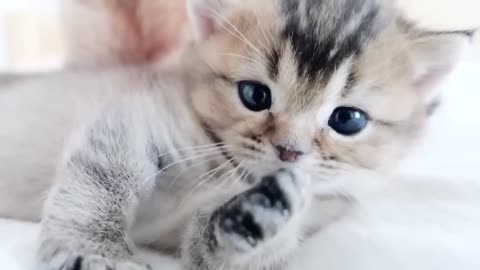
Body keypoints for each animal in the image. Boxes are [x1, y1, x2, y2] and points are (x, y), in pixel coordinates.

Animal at [0, 0, 472, 268]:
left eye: (348, 120)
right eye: (254, 95)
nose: (289, 151)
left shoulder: (325, 206)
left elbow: (216, 251)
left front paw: (254, 218)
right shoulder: (135, 115)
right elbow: (104, 180)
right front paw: (96, 251)